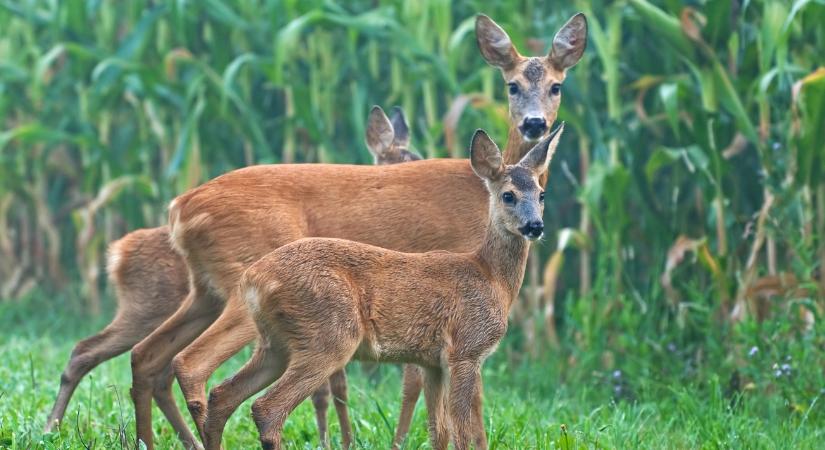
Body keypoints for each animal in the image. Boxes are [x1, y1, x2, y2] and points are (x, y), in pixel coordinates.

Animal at [41, 104, 416, 446]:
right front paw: (345, 440)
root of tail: (119, 252)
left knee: (139, 359)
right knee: (121, 355)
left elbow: (335, 387)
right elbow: (340, 387)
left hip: (195, 300)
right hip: (163, 305)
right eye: (402, 159)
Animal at [206, 125, 568, 450]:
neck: (492, 278)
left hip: (276, 343)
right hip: (329, 336)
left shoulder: (432, 362)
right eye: (508, 195)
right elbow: (468, 434)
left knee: (222, 394)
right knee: (267, 408)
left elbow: (440, 432)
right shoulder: (465, 349)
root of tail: (253, 278)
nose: (535, 226)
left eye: (541, 194)